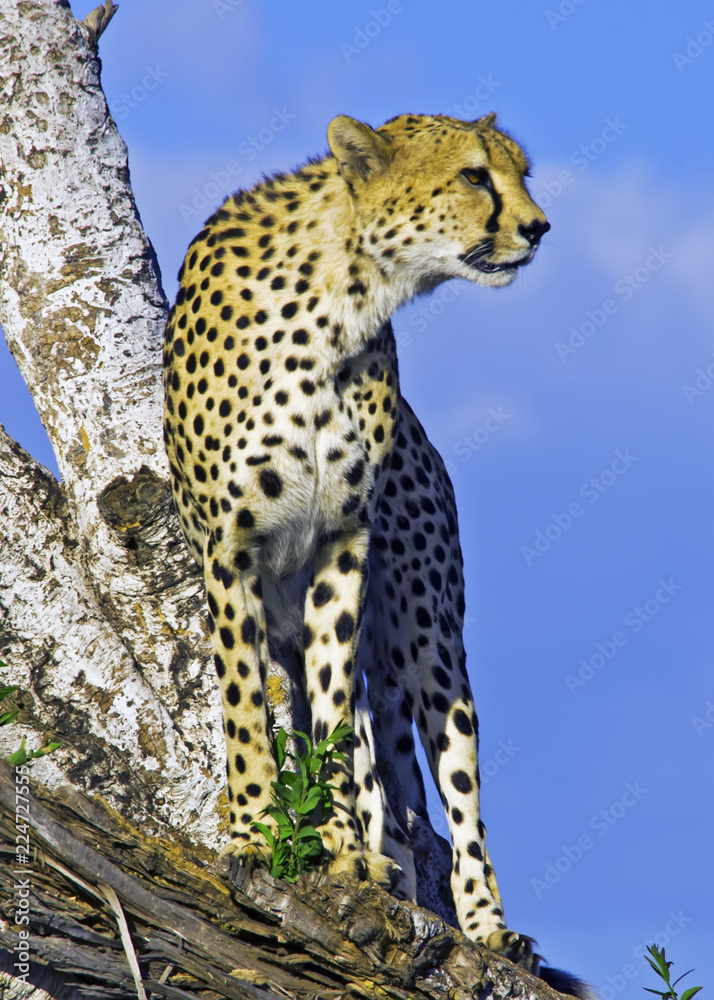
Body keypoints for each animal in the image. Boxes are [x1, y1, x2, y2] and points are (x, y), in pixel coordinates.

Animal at [163, 112, 552, 973]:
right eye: (474, 175)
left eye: (521, 172)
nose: (538, 227)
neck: (341, 300)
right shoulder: (231, 553)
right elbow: (247, 711)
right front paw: (255, 834)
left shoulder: (343, 542)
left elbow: (337, 724)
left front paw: (341, 850)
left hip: (431, 647)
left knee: (455, 800)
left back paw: (485, 926)